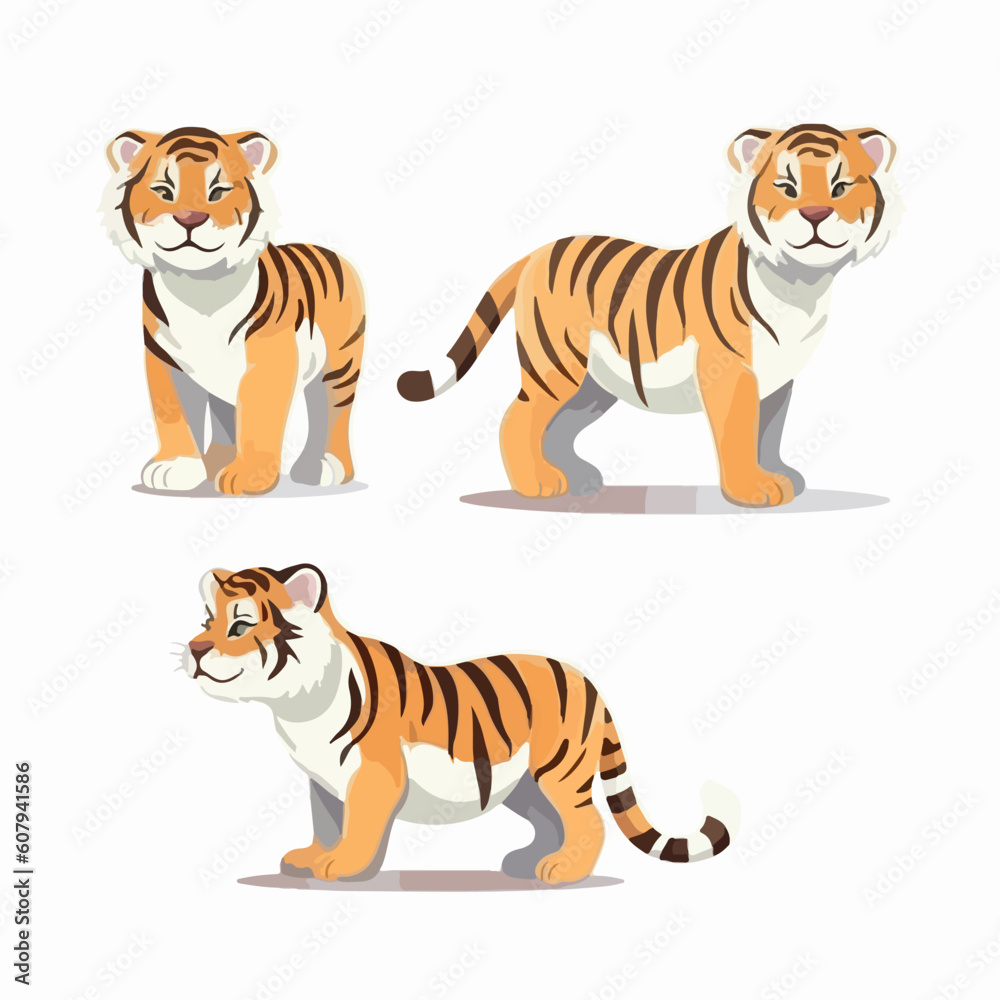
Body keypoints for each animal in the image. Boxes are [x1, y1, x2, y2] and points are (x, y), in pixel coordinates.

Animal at [100, 127, 365, 495]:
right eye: (164, 191)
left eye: (218, 191)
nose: (190, 219)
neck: (198, 287)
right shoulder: (165, 360)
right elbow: (174, 416)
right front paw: (176, 467)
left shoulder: (269, 359)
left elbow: (258, 418)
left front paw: (250, 476)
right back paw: (214, 465)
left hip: (339, 365)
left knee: (332, 409)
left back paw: (323, 467)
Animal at [182, 563, 738, 884]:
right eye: (207, 620)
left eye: (240, 625)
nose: (194, 648)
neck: (297, 706)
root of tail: (585, 678)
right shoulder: (322, 779)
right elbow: (326, 821)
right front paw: (311, 857)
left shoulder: (374, 773)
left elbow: (359, 824)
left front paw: (342, 866)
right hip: (523, 784)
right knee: (550, 821)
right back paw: (527, 863)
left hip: (558, 770)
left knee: (587, 822)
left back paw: (563, 871)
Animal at [398, 124, 902, 507]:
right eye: (787, 187)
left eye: (840, 187)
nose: (816, 213)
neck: (802, 284)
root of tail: (536, 252)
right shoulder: (732, 372)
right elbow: (740, 432)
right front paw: (752, 490)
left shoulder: (779, 378)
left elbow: (770, 431)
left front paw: (780, 474)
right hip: (557, 365)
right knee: (518, 417)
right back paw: (537, 484)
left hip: (594, 385)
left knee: (558, 428)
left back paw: (577, 478)